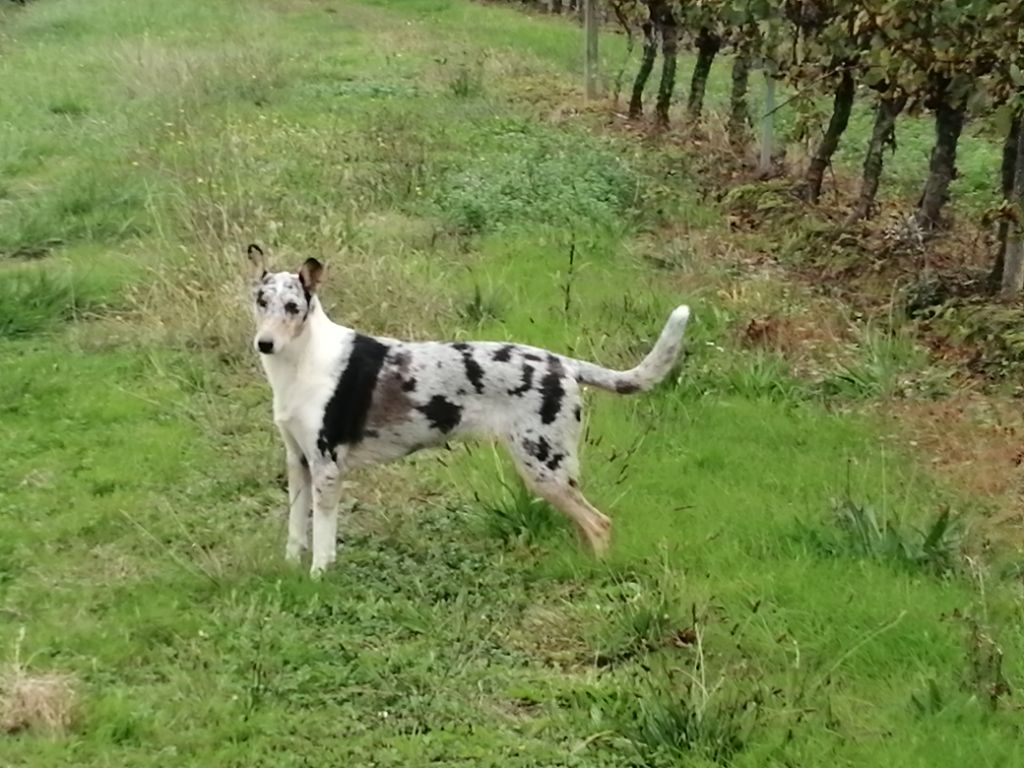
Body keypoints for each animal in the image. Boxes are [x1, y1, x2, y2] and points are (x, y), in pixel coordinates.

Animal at [246, 246, 692, 577]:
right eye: (260, 301)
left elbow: (322, 540)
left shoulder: (327, 467)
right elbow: (295, 530)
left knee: (599, 523)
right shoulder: (298, 461)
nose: (264, 344)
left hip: (544, 469)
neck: (302, 361)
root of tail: (564, 364)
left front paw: (318, 580)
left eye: (293, 306)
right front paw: (290, 570)